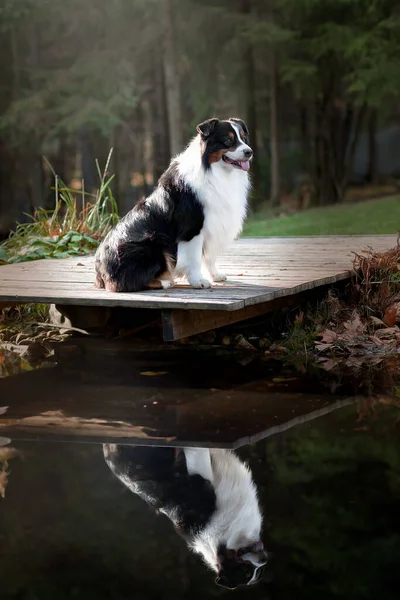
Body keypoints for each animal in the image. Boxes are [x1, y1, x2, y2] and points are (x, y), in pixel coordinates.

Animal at [94, 116, 252, 290]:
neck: (215, 171)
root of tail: (99, 269)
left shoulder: (214, 224)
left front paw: (215, 275)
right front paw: (198, 281)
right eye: (228, 140)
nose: (249, 152)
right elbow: (195, 257)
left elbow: (209, 257)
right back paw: (165, 281)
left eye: (243, 138)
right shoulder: (193, 228)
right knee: (125, 283)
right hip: (151, 244)